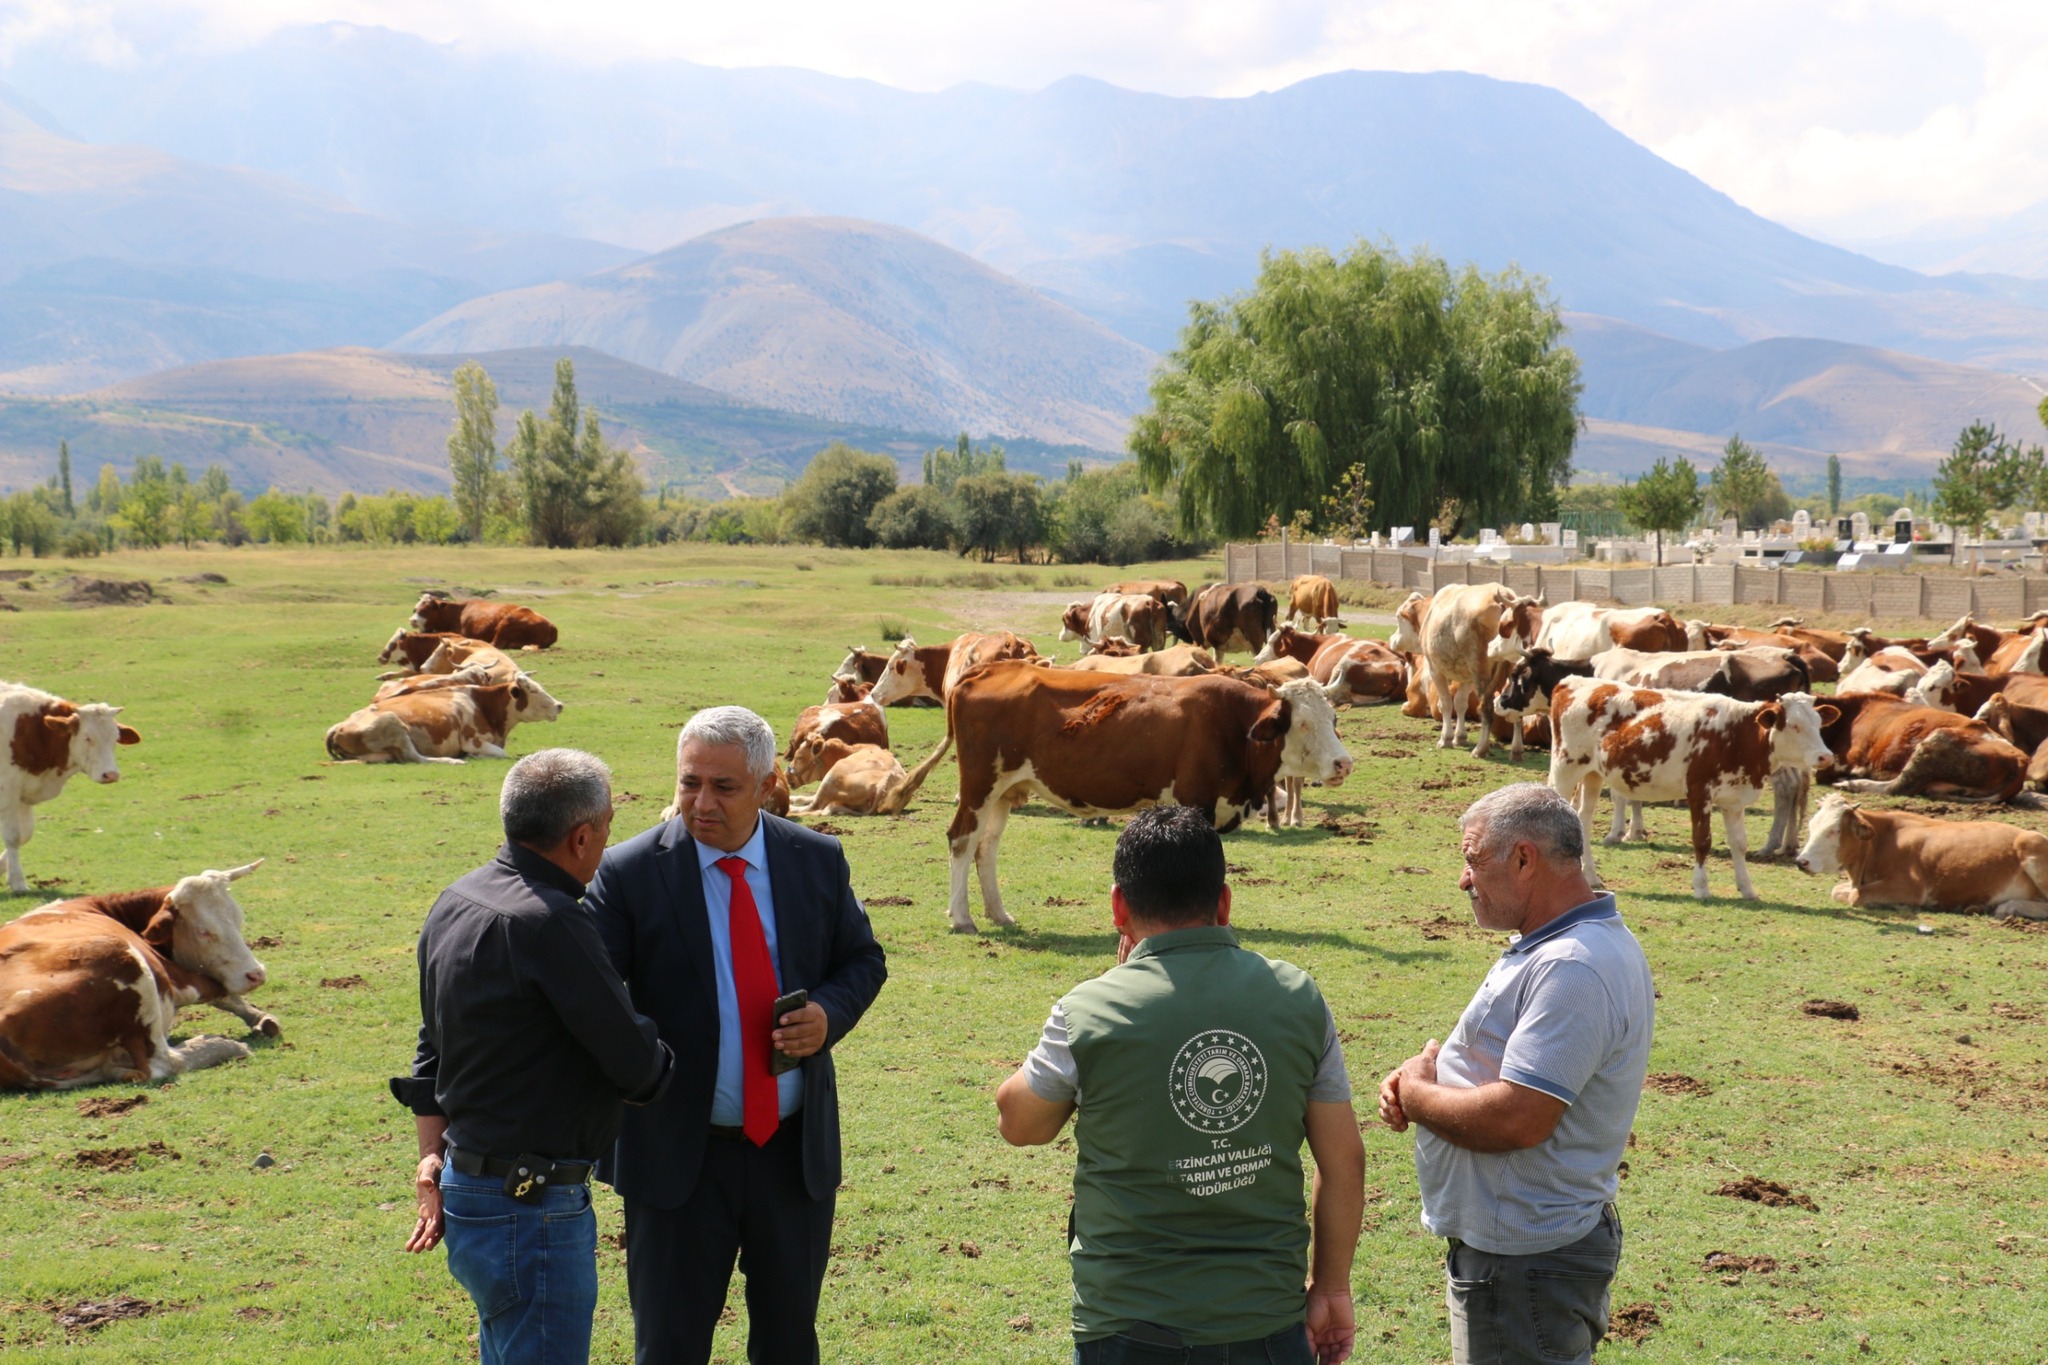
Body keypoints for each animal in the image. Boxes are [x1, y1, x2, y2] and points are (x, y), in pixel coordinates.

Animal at [0, 871, 276, 1096]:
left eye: (238, 919)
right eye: (203, 931)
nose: (256, 974)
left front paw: (260, 1017)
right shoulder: (176, 976)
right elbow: (216, 989)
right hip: (121, 959)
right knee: (165, 1062)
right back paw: (221, 1045)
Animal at [407, 593, 557, 650]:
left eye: (426, 610)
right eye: (415, 609)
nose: (412, 620)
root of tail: (552, 626)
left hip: (507, 621)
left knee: (495, 644)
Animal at [942, 658, 1359, 929]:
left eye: (1333, 719)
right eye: (1302, 723)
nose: (1343, 764)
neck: (1234, 724)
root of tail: (991, 668)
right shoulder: (1196, 801)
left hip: (1003, 791)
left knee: (986, 847)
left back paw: (998, 913)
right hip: (979, 786)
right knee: (962, 840)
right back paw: (962, 917)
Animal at [1548, 679, 1843, 896]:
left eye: (1818, 724)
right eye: (1794, 726)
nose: (1825, 756)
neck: (1737, 734)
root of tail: (1572, 681)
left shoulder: (1733, 800)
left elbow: (1739, 844)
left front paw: (1747, 889)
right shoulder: (1700, 792)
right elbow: (1702, 841)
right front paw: (1701, 888)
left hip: (1592, 774)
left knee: (1582, 819)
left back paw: (1590, 876)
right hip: (1566, 767)